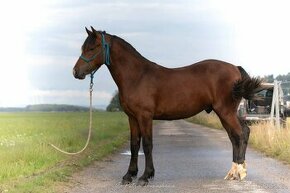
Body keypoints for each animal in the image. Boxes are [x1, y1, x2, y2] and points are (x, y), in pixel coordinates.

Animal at [72, 27, 260, 185]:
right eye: (83, 47)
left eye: (92, 48)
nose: (76, 72)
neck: (137, 76)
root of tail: (235, 68)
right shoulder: (132, 117)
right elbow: (134, 145)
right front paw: (129, 175)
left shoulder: (145, 116)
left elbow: (147, 145)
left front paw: (145, 176)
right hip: (225, 113)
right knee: (238, 135)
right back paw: (233, 172)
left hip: (225, 111)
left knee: (239, 134)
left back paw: (240, 172)